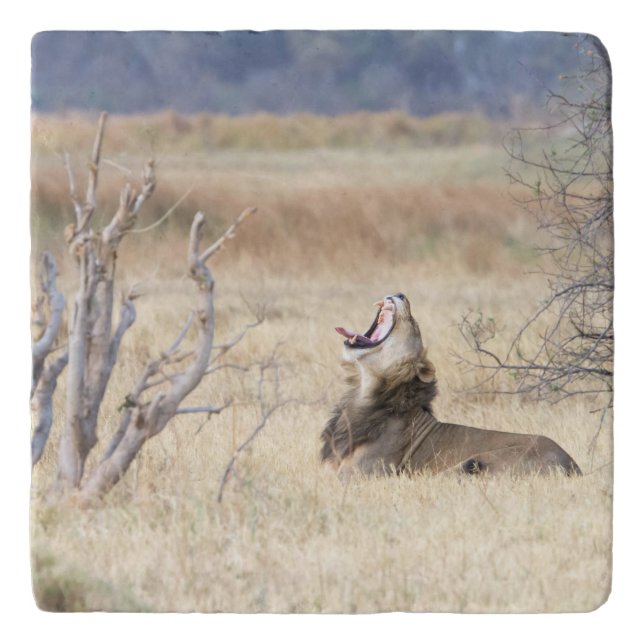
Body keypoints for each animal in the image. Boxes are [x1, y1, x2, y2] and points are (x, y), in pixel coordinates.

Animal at [321, 293, 581, 479]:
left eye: (413, 323)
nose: (400, 294)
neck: (364, 392)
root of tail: (572, 466)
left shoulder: (358, 475)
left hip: (471, 462)